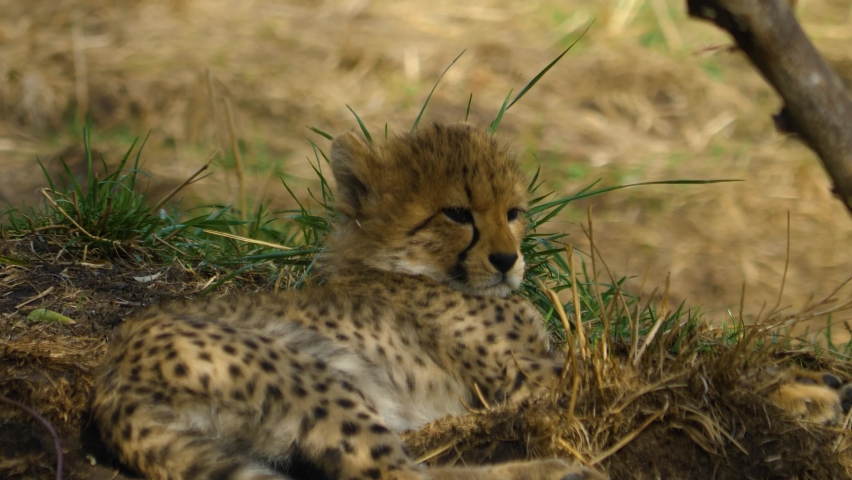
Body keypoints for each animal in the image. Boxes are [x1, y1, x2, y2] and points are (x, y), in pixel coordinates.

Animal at [90, 122, 849, 480]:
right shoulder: (534, 381)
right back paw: (554, 470)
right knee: (393, 474)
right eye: (457, 213)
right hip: (314, 373)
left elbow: (644, 353)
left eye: (513, 212)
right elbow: (663, 374)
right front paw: (801, 396)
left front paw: (806, 385)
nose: (510, 261)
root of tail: (111, 371)